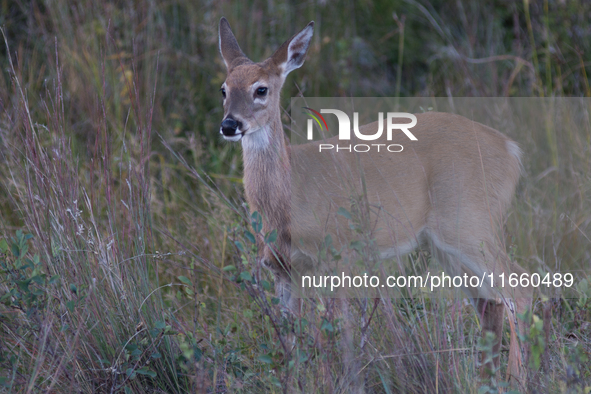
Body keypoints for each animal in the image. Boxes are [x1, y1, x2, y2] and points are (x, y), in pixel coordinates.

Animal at [219, 16, 532, 386]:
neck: (286, 203)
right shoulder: (283, 269)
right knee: (491, 304)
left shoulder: (338, 255)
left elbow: (341, 333)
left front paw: (345, 380)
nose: (229, 124)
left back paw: (520, 378)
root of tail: (511, 150)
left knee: (520, 290)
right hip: (447, 241)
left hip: (470, 221)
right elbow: (291, 340)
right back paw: (487, 379)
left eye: (261, 89)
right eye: (224, 89)